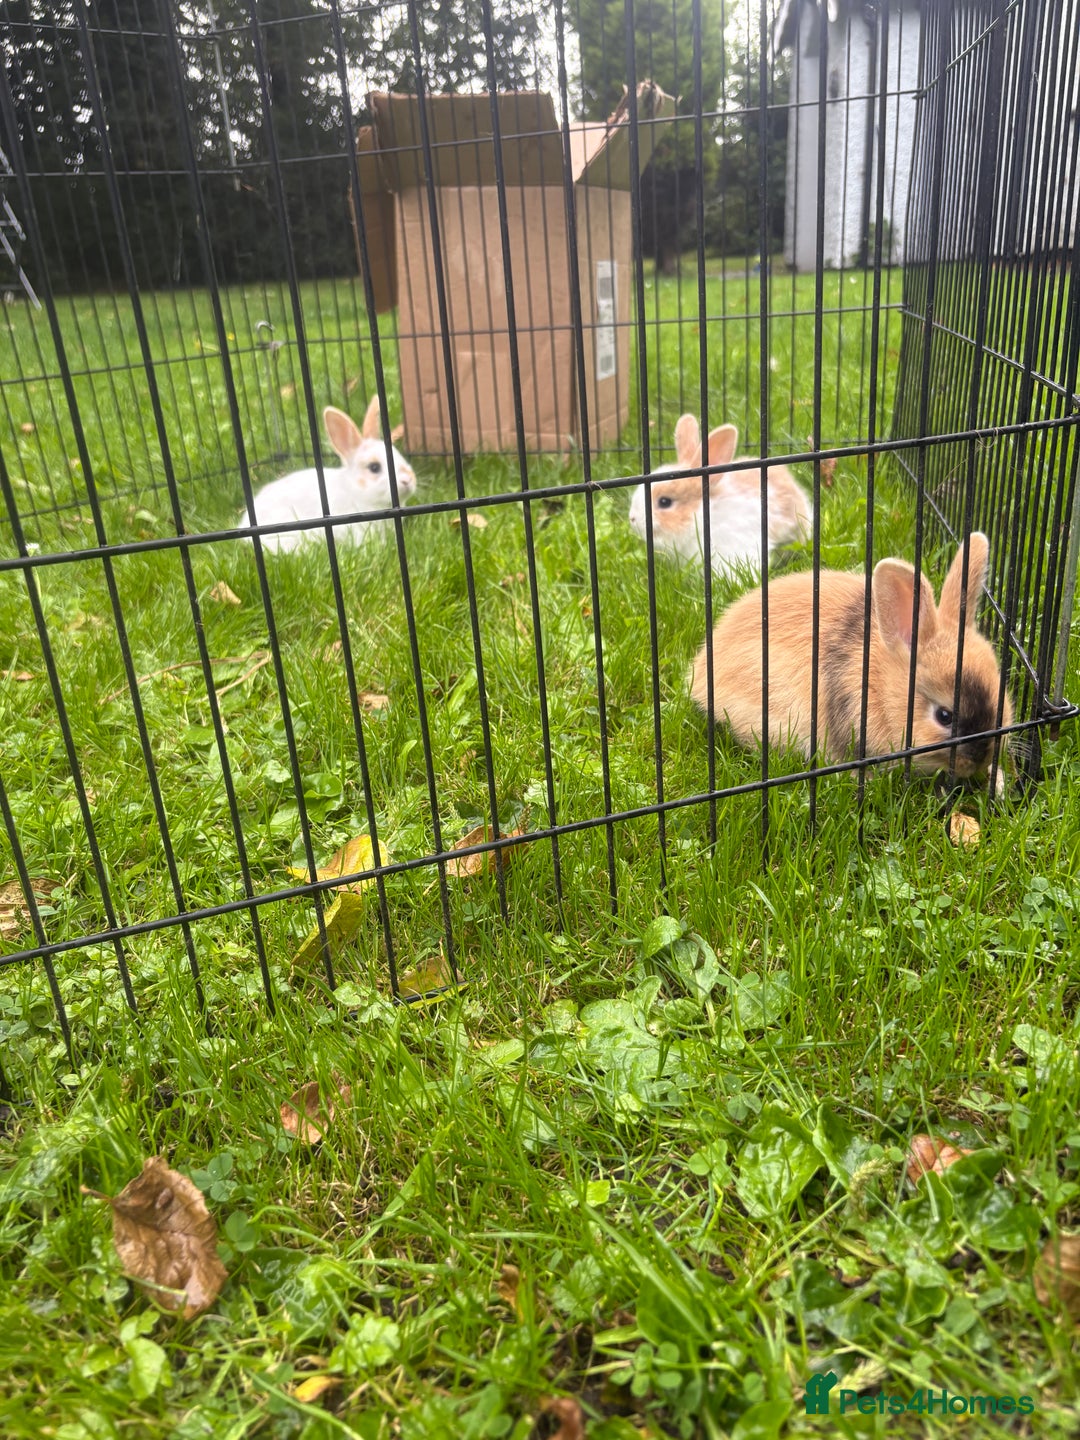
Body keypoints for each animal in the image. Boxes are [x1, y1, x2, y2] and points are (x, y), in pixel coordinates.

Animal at [689, 532, 1012, 791]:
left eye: (1002, 693)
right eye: (944, 716)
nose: (980, 757)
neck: (881, 686)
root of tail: (701, 669)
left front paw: (997, 780)